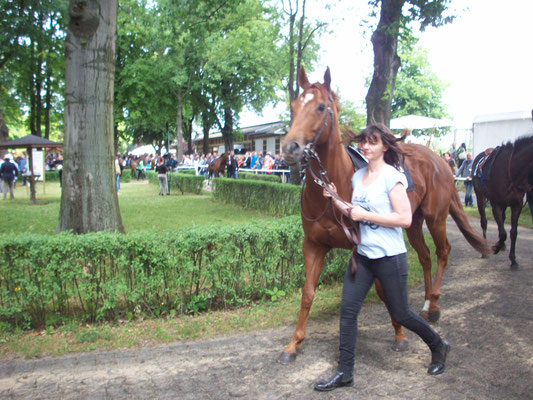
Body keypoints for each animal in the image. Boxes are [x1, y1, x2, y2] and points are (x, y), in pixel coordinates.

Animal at [278, 67, 490, 364]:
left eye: (320, 107)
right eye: (294, 106)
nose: (290, 148)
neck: (335, 187)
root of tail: (439, 160)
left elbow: (382, 291)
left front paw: (400, 334)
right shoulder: (314, 245)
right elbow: (307, 293)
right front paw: (294, 343)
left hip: (436, 218)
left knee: (443, 252)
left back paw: (434, 305)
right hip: (412, 224)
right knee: (425, 256)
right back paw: (426, 300)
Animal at [472, 136, 532, 270]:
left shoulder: (516, 205)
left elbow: (513, 232)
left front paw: (513, 260)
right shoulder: (496, 204)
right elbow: (503, 233)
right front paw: (496, 247)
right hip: (480, 196)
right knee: (484, 221)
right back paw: (485, 250)